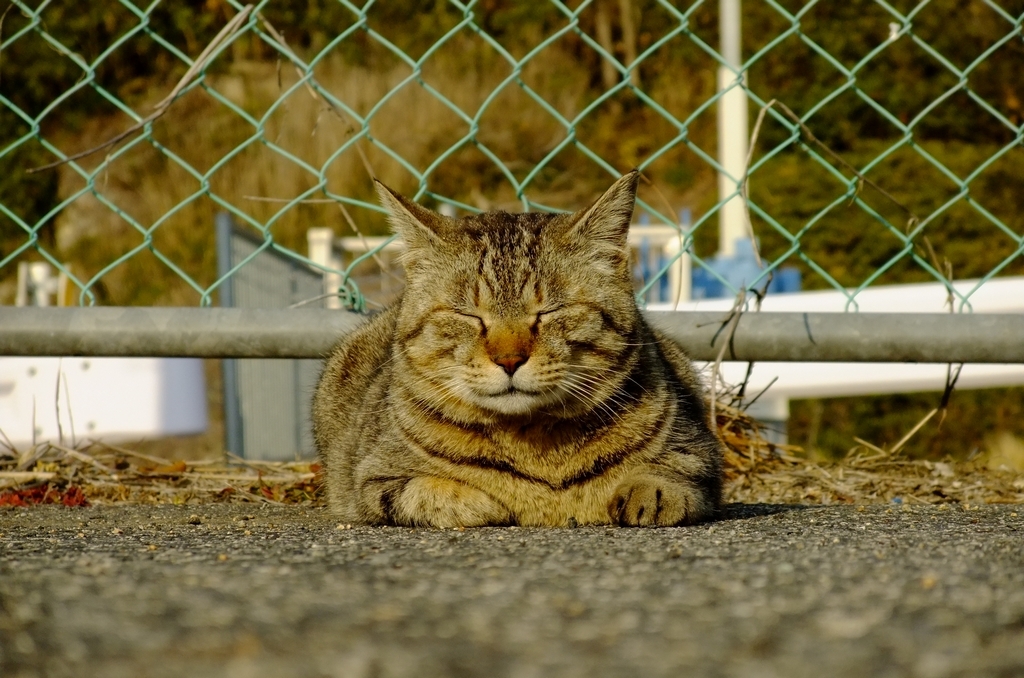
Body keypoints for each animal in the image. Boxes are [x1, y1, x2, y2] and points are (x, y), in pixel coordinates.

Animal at [315, 171, 724, 532]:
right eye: (469, 314)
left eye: (549, 312)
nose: (508, 360)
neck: (536, 446)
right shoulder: (371, 479)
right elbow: (426, 492)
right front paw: (481, 503)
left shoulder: (702, 454)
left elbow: (676, 472)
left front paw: (650, 492)